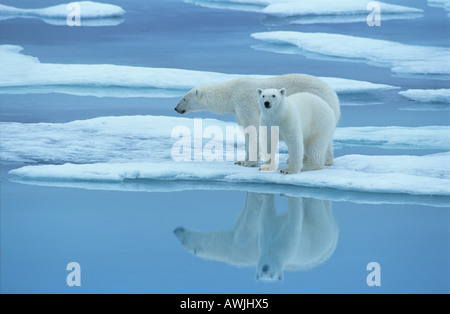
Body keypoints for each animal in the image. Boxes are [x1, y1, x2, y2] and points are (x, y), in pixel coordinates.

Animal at [174, 73, 340, 167]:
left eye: (184, 99)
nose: (176, 108)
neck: (231, 93)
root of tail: (333, 94)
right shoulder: (237, 110)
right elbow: (246, 132)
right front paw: (241, 160)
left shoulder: (245, 102)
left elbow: (253, 128)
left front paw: (250, 162)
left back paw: (321, 160)